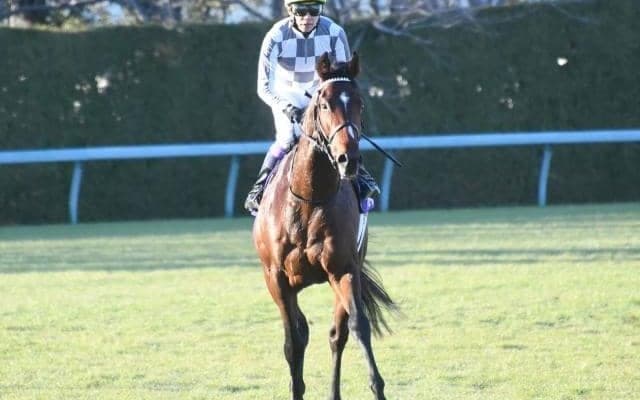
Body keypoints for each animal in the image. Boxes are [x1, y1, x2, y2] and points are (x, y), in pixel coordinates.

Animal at [252, 52, 397, 400]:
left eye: (360, 103)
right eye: (325, 104)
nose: (348, 159)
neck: (310, 198)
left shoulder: (343, 269)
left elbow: (357, 327)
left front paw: (377, 387)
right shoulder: (277, 278)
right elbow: (293, 342)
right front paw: (296, 389)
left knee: (336, 334)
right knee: (301, 331)